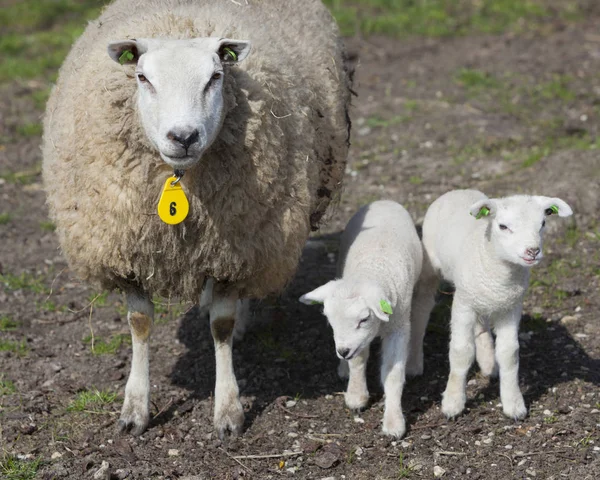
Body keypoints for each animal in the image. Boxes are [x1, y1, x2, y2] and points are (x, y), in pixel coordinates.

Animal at [43, 0, 352, 438]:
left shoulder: (235, 251)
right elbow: (140, 323)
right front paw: (134, 409)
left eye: (215, 77)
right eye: (142, 77)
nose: (184, 136)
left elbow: (222, 325)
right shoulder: (129, 252)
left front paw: (228, 411)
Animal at [300, 200, 426, 438]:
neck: (372, 268)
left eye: (363, 320)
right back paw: (343, 368)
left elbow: (393, 374)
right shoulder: (356, 343)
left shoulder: (399, 328)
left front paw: (393, 423)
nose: (342, 351)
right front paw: (356, 396)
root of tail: (383, 201)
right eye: (330, 322)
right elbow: (358, 361)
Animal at [420, 189, 576, 418]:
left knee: (482, 325)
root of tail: (459, 190)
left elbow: (509, 353)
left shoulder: (510, 308)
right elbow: (461, 351)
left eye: (542, 224)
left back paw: (488, 363)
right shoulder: (463, 305)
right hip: (435, 270)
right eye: (503, 226)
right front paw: (453, 402)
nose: (532, 251)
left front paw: (514, 404)